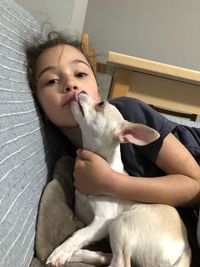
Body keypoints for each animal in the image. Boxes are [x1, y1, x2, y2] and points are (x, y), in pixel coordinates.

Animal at [46, 92, 191, 267]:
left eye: (101, 104)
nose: (81, 91)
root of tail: (185, 253)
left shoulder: (102, 222)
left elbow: (79, 234)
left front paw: (61, 251)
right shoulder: (83, 216)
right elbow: (81, 230)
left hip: (120, 223)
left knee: (120, 262)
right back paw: (98, 256)